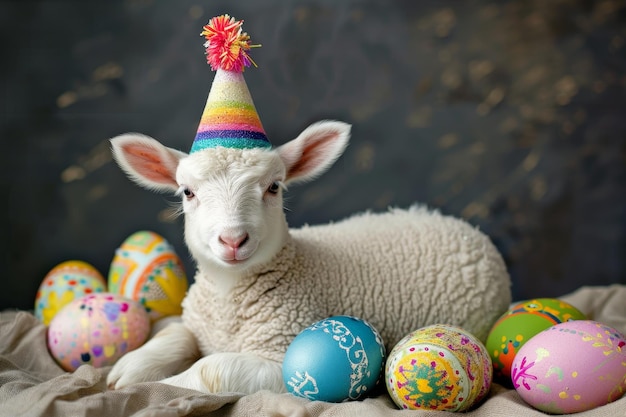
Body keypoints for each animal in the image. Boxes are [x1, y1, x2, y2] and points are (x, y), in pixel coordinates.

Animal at [105, 119, 510, 394]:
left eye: (274, 187)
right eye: (187, 192)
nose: (233, 240)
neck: (228, 295)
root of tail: (467, 231)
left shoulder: (279, 360)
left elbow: (211, 372)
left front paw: (161, 385)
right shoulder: (196, 322)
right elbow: (174, 333)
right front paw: (130, 368)